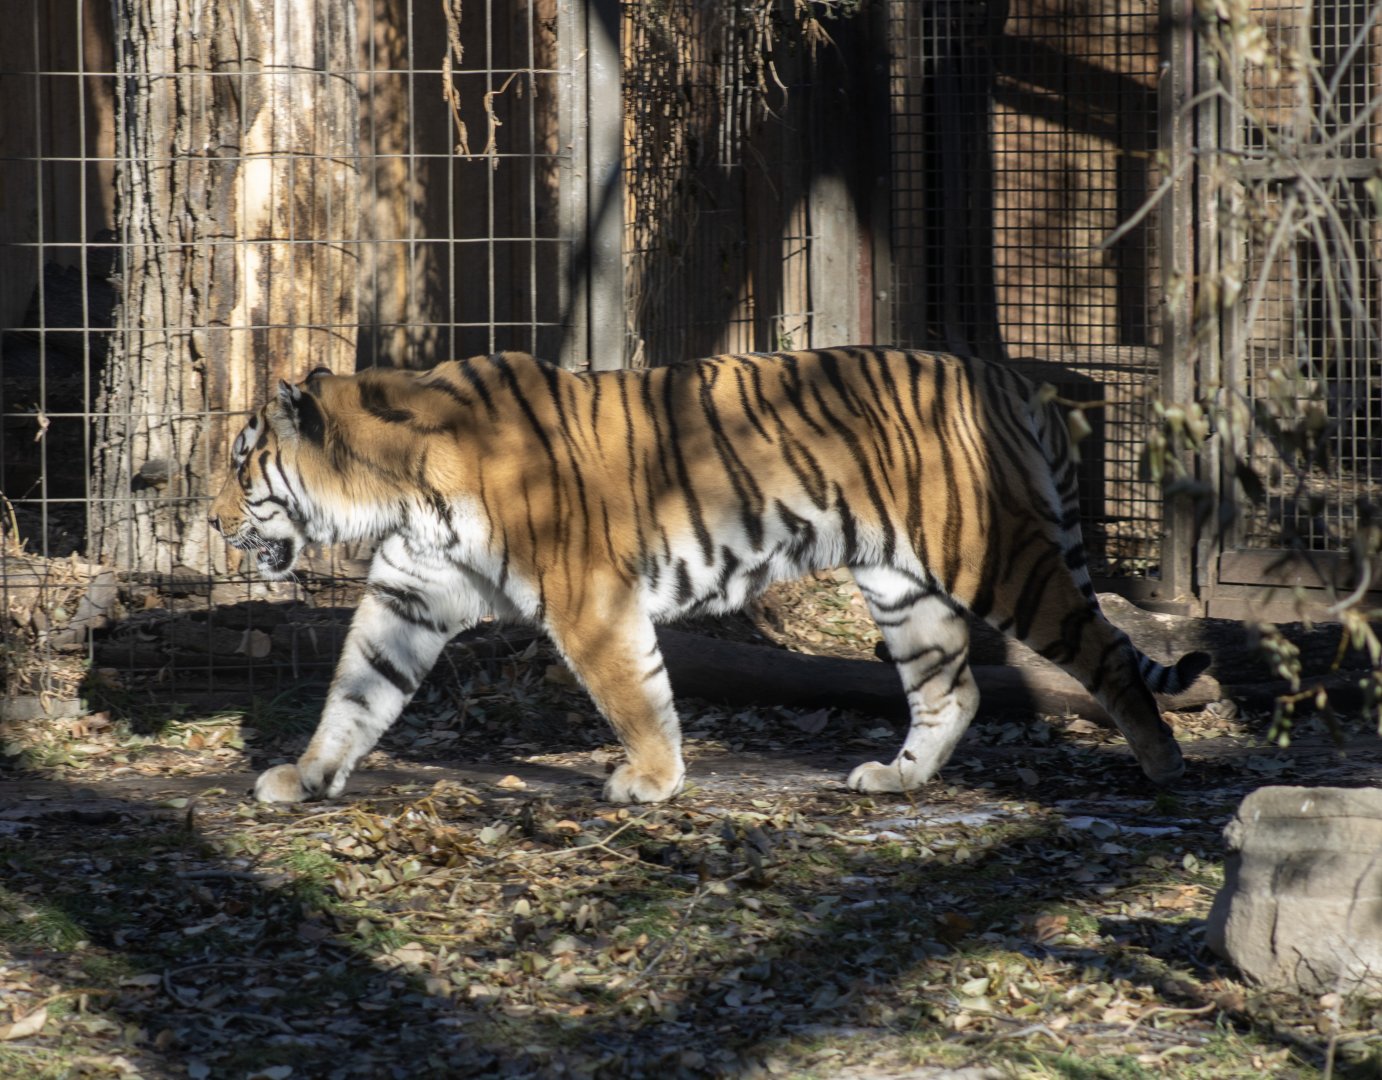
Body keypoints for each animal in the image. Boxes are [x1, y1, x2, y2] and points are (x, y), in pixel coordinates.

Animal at [208, 347, 1209, 805]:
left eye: (239, 463)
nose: (212, 524)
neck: (395, 489)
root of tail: (1002, 372)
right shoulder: (407, 596)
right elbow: (356, 692)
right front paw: (304, 775)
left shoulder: (589, 598)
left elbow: (633, 692)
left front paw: (650, 781)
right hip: (901, 586)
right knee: (951, 691)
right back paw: (895, 779)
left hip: (995, 553)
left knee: (1106, 649)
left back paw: (1165, 765)